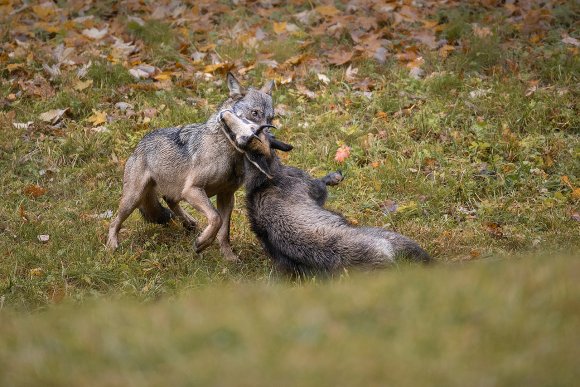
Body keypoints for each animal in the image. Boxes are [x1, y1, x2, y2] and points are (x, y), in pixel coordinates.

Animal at [105, 73, 288, 260]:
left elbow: (224, 231)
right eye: (255, 113)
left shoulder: (227, 196)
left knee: (169, 200)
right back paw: (111, 246)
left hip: (172, 192)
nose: (270, 140)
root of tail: (139, 145)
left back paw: (189, 222)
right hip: (134, 198)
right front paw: (202, 243)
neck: (228, 151)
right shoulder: (192, 189)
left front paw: (228, 257)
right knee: (114, 222)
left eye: (271, 118)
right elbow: (216, 218)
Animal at [218, 110, 430, 278]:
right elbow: (322, 185)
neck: (265, 181)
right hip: (391, 238)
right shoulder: (312, 188)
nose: (223, 115)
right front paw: (335, 177)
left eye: (246, 130)